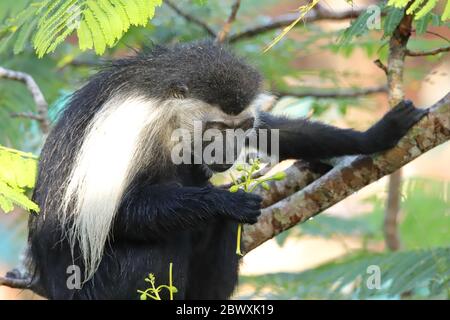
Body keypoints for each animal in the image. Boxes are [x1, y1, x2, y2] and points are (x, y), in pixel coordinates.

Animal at [27, 40, 426, 300]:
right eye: (217, 129)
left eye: (241, 128)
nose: (230, 151)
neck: (169, 116)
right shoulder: (134, 129)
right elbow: (114, 212)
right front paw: (225, 201)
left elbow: (275, 131)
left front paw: (376, 134)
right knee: (152, 242)